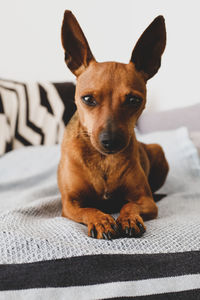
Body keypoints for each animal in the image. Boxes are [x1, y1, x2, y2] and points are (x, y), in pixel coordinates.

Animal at [57, 11, 169, 239]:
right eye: (88, 99)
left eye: (134, 100)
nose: (111, 141)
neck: (103, 160)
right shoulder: (71, 205)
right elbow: (90, 208)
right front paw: (102, 220)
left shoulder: (146, 201)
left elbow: (130, 205)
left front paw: (128, 218)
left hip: (158, 151)